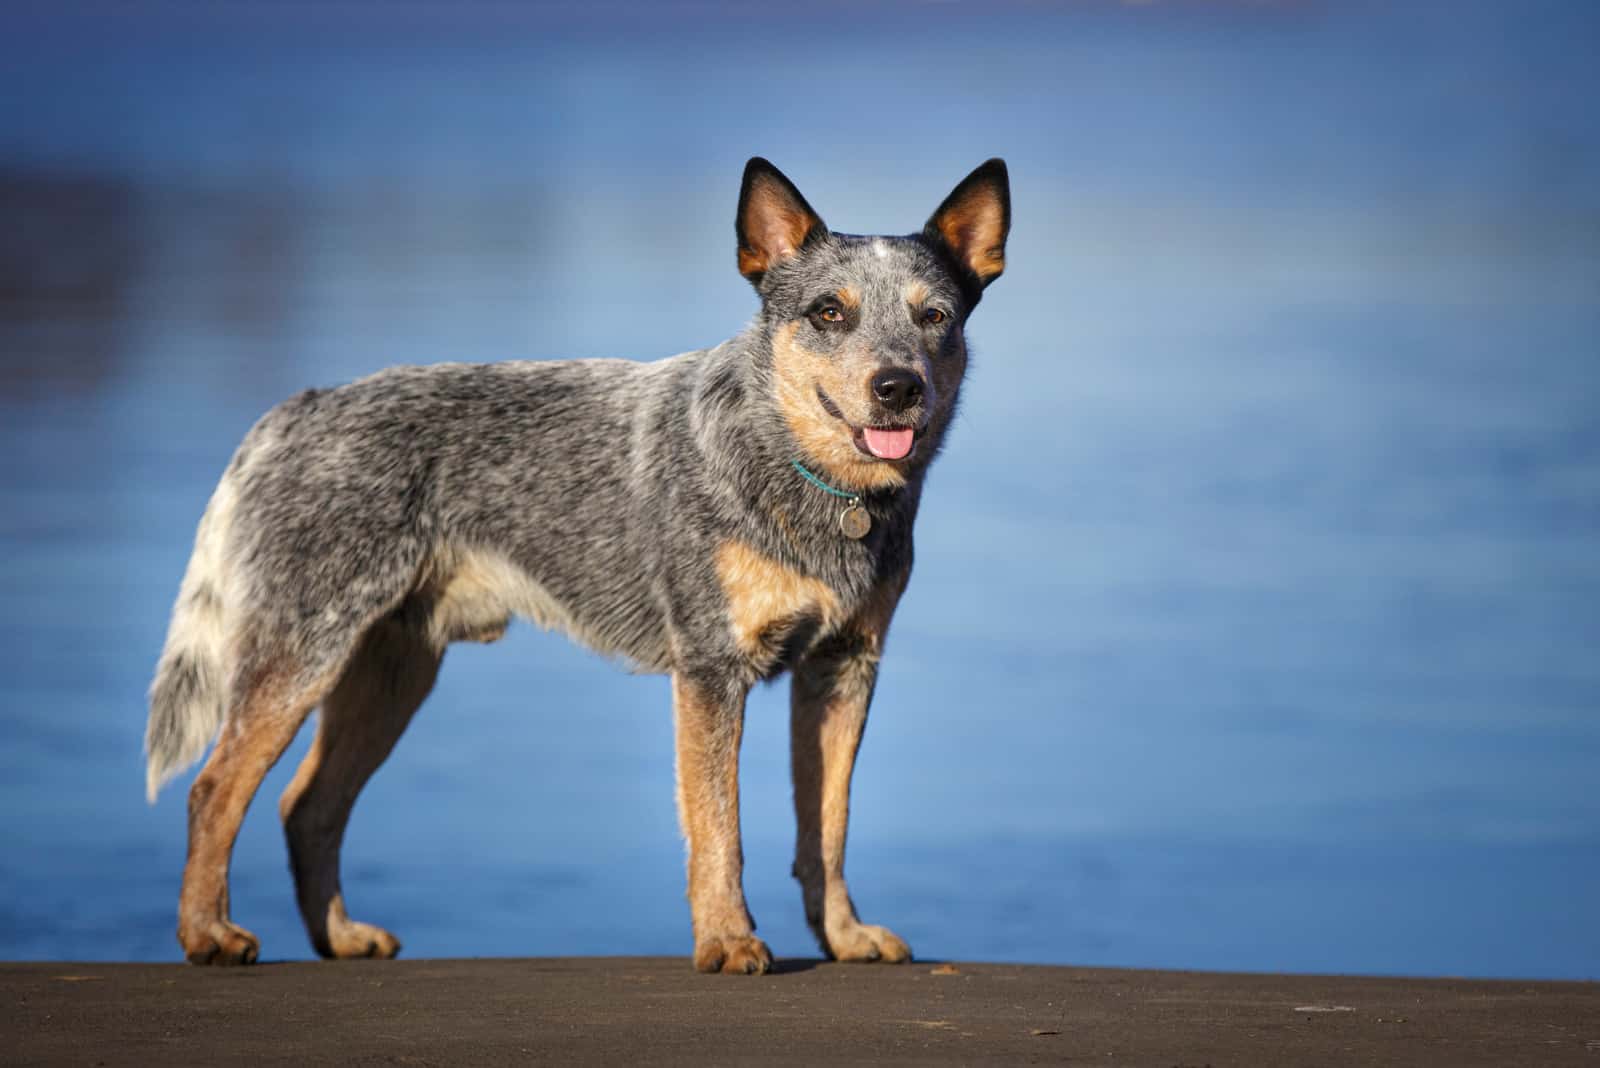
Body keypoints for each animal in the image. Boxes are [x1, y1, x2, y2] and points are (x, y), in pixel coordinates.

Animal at [144, 158, 1004, 978]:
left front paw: (844, 937)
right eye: (829, 311)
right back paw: (209, 936)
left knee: (310, 805)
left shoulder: (842, 668)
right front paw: (728, 941)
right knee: (214, 791)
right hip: (304, 656)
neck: (809, 478)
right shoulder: (710, 671)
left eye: (934, 316)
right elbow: (719, 829)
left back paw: (340, 937)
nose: (898, 387)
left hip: (392, 674)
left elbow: (827, 828)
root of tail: (297, 409)